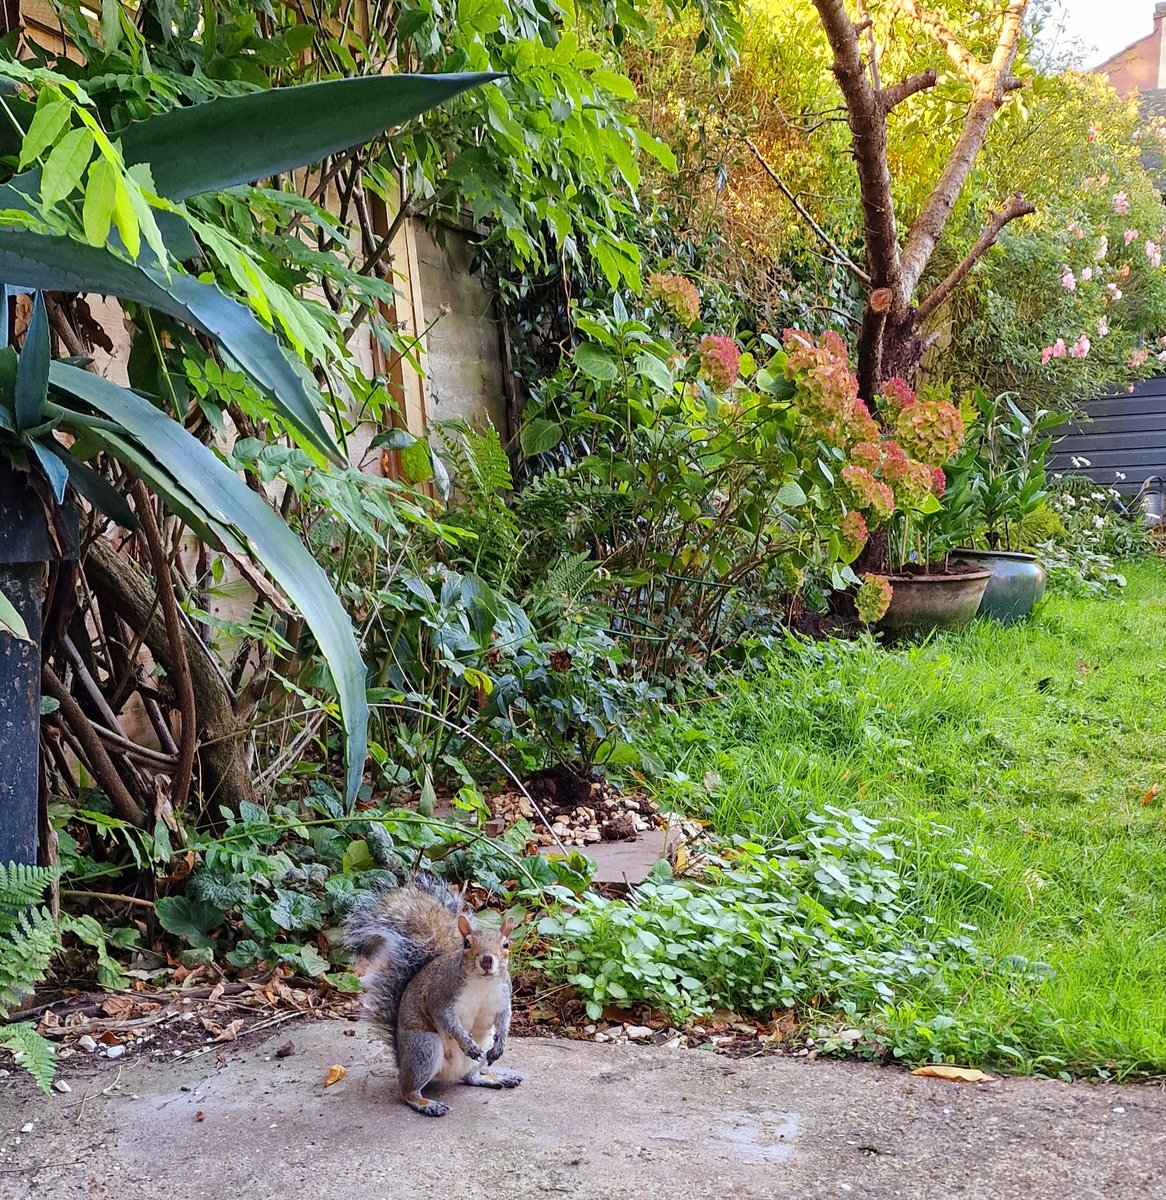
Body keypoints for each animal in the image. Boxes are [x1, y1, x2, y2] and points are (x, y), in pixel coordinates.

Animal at [344, 874, 521, 1117]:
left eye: (505, 943)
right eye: (467, 943)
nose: (487, 960)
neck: (482, 983)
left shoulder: (503, 996)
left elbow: (505, 1018)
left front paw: (501, 1044)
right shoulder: (440, 994)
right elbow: (445, 1018)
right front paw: (466, 1043)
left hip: (480, 1044)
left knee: (470, 1077)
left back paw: (494, 1078)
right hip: (424, 1048)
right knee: (407, 1090)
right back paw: (427, 1103)